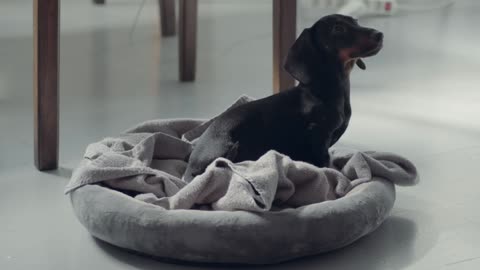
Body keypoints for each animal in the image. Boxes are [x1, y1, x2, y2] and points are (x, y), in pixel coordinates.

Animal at [184, 15, 382, 184]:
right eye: (338, 28)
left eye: (356, 22)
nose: (380, 35)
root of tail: (191, 168)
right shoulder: (317, 135)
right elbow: (324, 162)